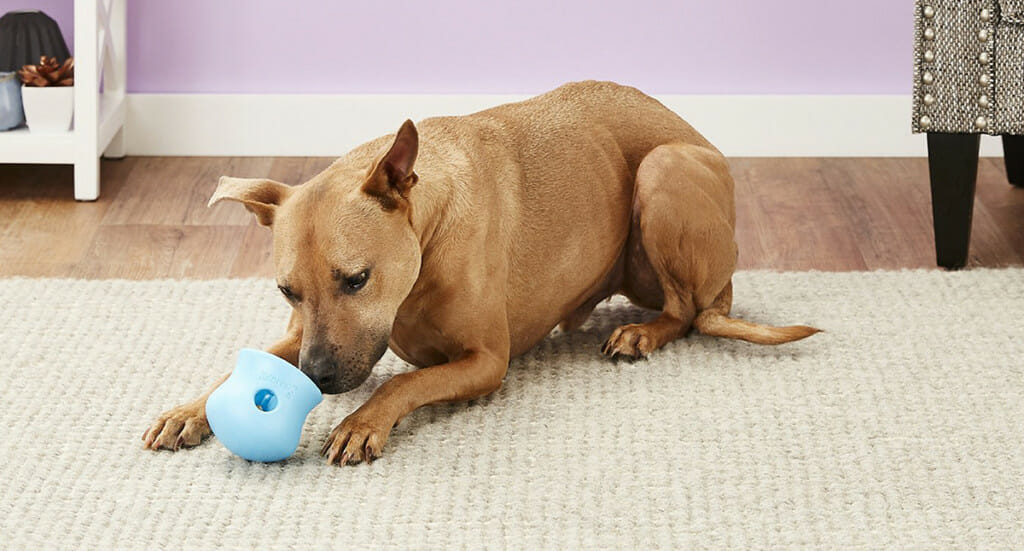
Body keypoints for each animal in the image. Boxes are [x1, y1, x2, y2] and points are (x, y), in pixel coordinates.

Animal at [142, 79, 815, 460]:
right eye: (287, 291)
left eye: (357, 280)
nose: (319, 379)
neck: (426, 232)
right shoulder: (301, 335)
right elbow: (252, 356)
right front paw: (190, 410)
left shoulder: (486, 361)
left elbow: (400, 384)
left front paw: (361, 422)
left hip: (662, 169)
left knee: (689, 312)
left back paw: (641, 334)